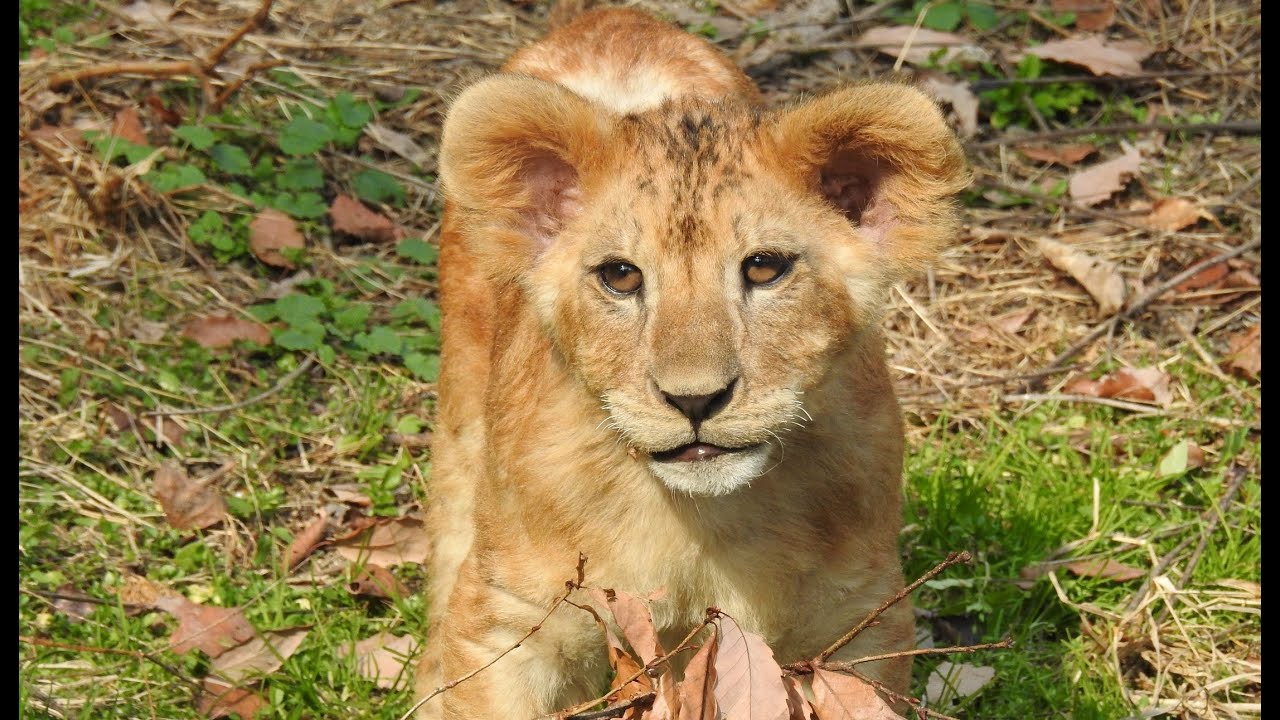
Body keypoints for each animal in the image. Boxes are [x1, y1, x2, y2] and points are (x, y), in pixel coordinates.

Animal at [415, 8, 968, 718]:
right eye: (621, 277)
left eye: (764, 268)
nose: (694, 400)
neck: (701, 525)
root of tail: (615, 18)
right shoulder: (512, 618)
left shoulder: (861, 617)